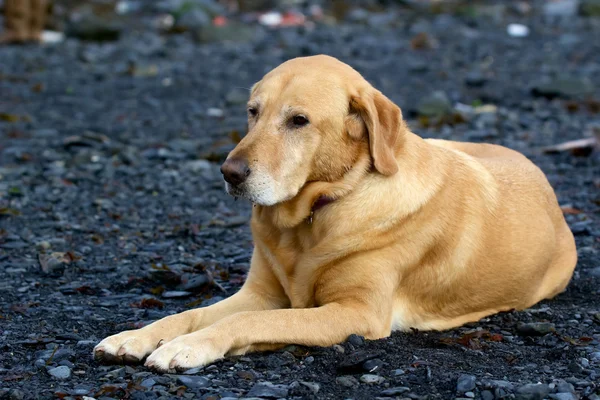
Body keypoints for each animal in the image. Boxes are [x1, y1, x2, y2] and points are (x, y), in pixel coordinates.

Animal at [94, 54, 576, 372]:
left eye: (298, 120)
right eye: (253, 112)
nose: (229, 172)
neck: (313, 215)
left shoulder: (356, 312)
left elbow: (252, 320)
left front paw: (187, 347)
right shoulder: (260, 293)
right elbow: (189, 314)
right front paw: (135, 336)